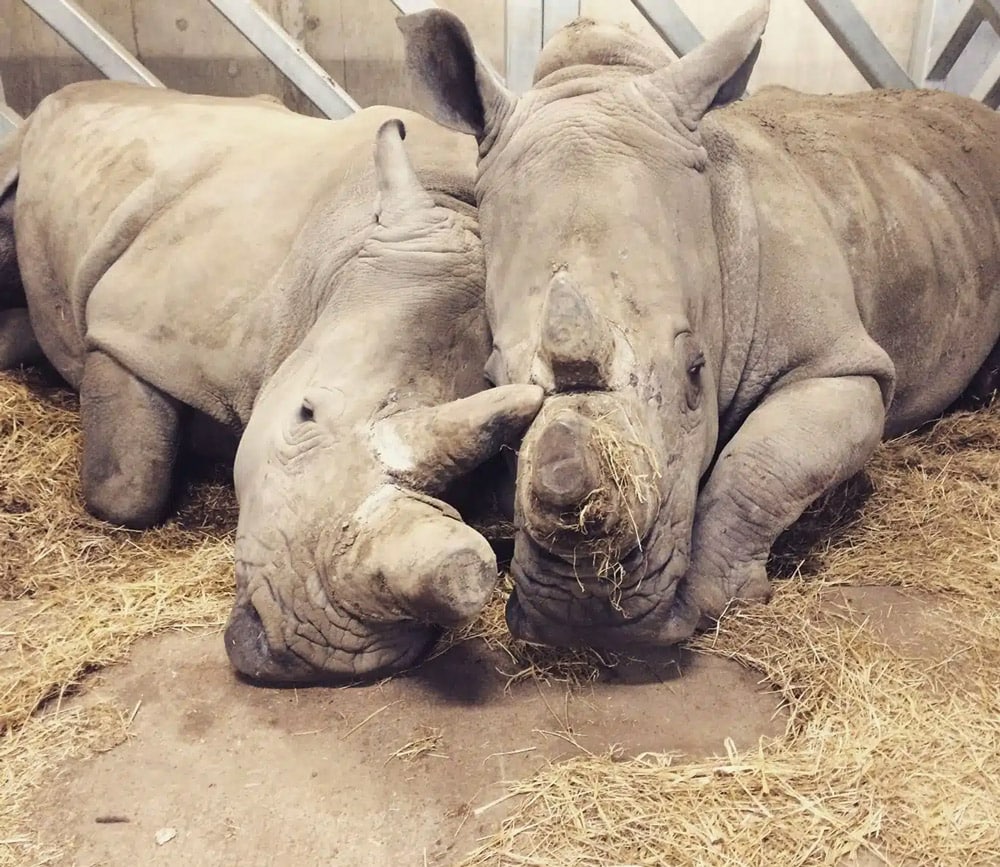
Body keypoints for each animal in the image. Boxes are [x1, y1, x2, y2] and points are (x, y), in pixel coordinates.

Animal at [396, 2, 1000, 650]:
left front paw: (716, 597)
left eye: (694, 373)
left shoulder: (837, 365)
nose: (585, 617)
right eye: (491, 383)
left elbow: (762, 467)